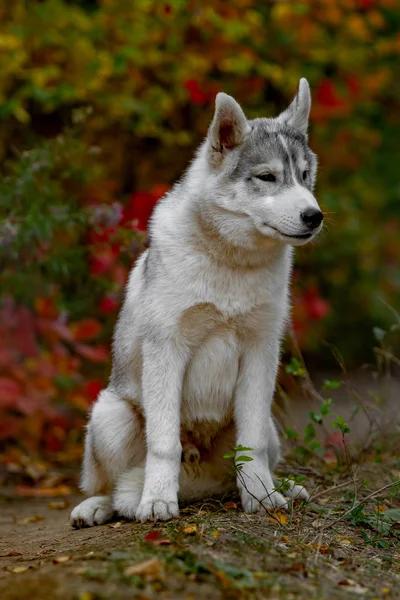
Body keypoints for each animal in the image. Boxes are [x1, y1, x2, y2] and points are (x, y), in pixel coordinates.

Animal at [71, 77, 322, 528]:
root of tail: (200, 472)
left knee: (242, 463)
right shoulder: (166, 349)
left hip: (271, 426)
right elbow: (164, 445)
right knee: (108, 485)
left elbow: (251, 447)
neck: (230, 264)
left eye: (305, 176)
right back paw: (98, 506)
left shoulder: (261, 352)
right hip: (108, 417)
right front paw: (156, 502)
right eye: (267, 177)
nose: (314, 216)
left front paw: (261, 498)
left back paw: (282, 487)